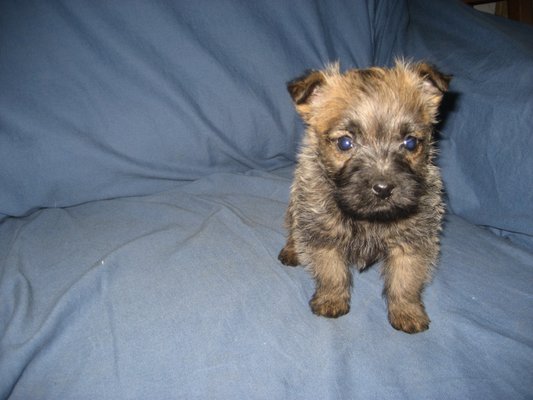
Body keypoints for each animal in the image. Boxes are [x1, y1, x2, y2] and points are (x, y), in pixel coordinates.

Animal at [278, 60, 448, 334]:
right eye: (345, 143)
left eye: (410, 143)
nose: (383, 188)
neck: (368, 218)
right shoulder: (324, 235)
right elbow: (332, 272)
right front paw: (331, 300)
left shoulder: (412, 241)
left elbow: (406, 280)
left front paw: (407, 312)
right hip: (297, 206)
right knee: (294, 229)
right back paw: (292, 250)